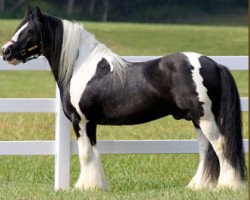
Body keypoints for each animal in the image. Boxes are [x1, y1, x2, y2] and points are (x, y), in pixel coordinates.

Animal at [0, 6, 245, 191]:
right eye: (19, 27)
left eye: (30, 30)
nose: (6, 51)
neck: (81, 67)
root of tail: (214, 63)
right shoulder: (91, 123)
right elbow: (93, 152)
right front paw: (96, 186)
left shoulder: (80, 121)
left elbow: (85, 154)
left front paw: (85, 187)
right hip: (196, 119)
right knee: (206, 149)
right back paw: (198, 186)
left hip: (205, 118)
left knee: (221, 146)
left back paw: (228, 186)